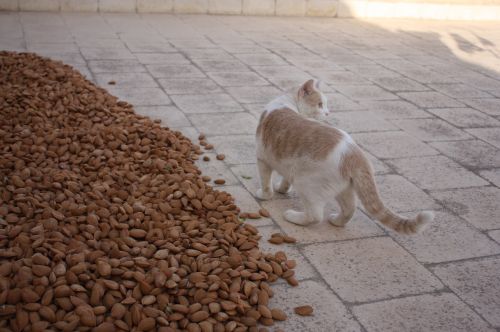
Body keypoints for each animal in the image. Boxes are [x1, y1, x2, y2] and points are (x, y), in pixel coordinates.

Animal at [256, 78, 432, 233]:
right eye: (320, 104)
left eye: (324, 104)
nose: (328, 113)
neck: (287, 102)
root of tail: (355, 153)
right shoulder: (288, 165)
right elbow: (285, 180)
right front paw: (282, 189)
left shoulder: (262, 159)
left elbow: (266, 184)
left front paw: (265, 195)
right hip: (343, 188)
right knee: (349, 210)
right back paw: (336, 221)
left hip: (307, 184)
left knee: (315, 216)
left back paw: (293, 217)